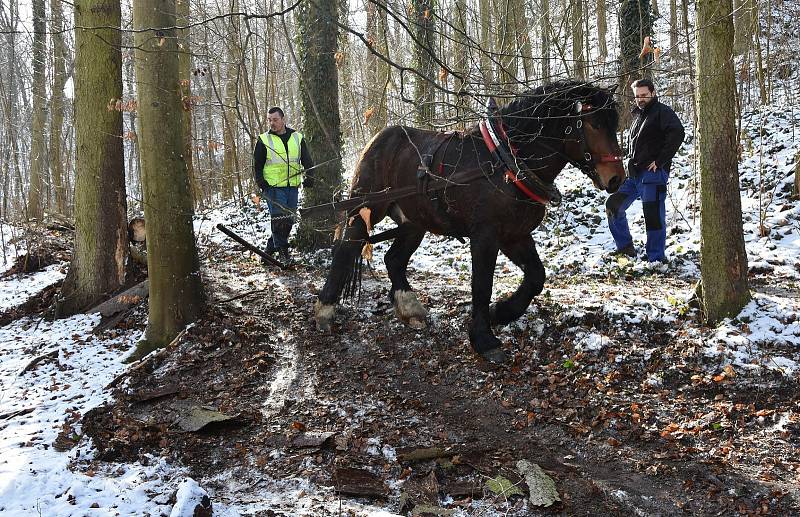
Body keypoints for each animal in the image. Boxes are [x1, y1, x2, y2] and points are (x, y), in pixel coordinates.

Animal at [312, 80, 624, 362]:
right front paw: (484, 339)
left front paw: (503, 312)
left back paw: (409, 307)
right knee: (347, 249)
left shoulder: (514, 235)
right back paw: (325, 310)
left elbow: (536, 276)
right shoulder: (485, 235)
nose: (616, 179)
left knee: (394, 259)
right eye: (593, 124)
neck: (507, 162)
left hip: (414, 222)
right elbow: (482, 283)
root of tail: (377, 140)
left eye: (613, 123)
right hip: (365, 209)